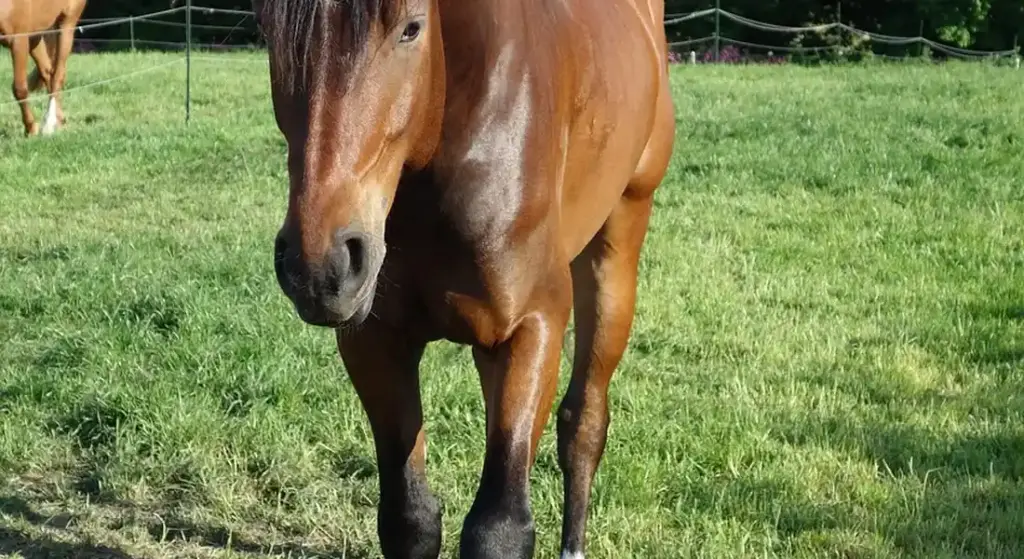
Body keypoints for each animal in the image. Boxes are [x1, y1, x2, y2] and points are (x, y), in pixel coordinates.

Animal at [0, 0, 86, 136]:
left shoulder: (18, 40)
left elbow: (20, 89)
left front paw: (31, 129)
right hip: (35, 36)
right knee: (47, 73)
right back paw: (59, 119)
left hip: (66, 24)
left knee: (57, 75)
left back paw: (49, 124)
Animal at [252, 0, 675, 557]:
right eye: (265, 30)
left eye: (411, 28)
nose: (320, 267)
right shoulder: (374, 340)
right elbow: (409, 520)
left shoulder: (534, 325)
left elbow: (500, 527)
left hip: (620, 241)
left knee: (584, 423)